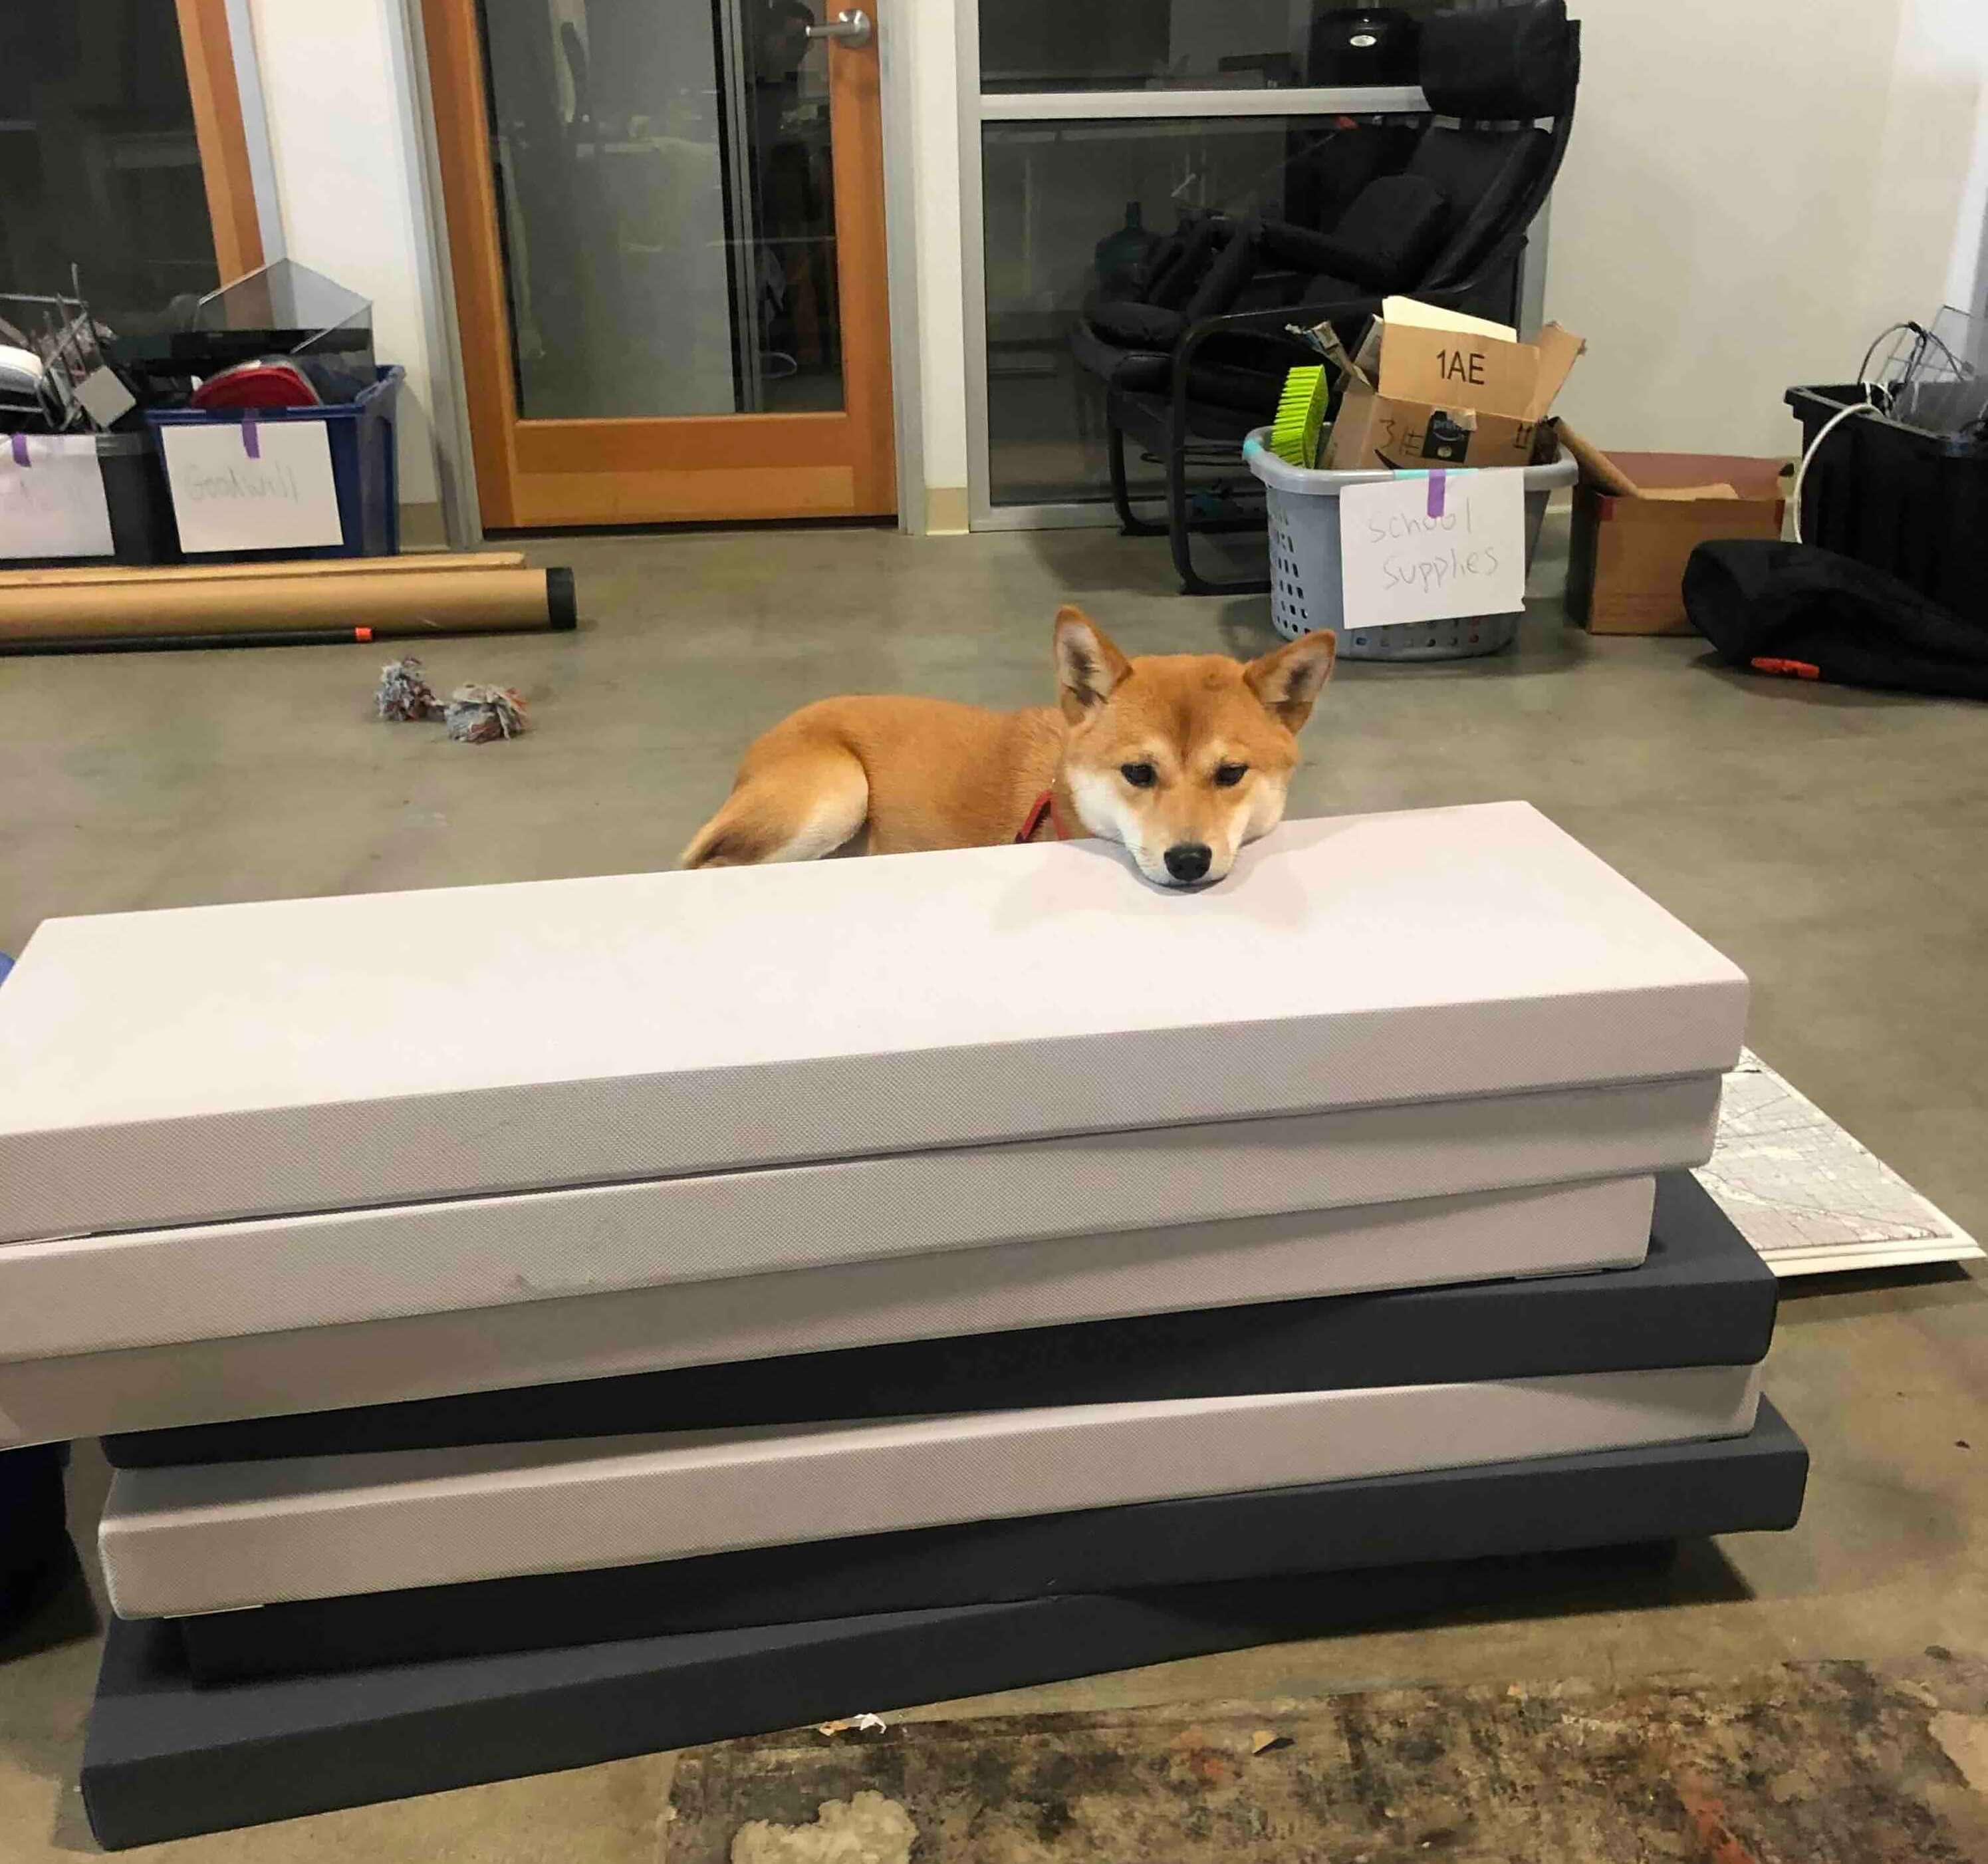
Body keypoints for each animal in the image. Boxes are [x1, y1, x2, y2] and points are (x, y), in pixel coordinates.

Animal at [680, 604, 1336, 879]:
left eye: (1231, 774)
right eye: (1138, 773)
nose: (1189, 859)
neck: (1059, 805)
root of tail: (764, 739)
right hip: (842, 793)